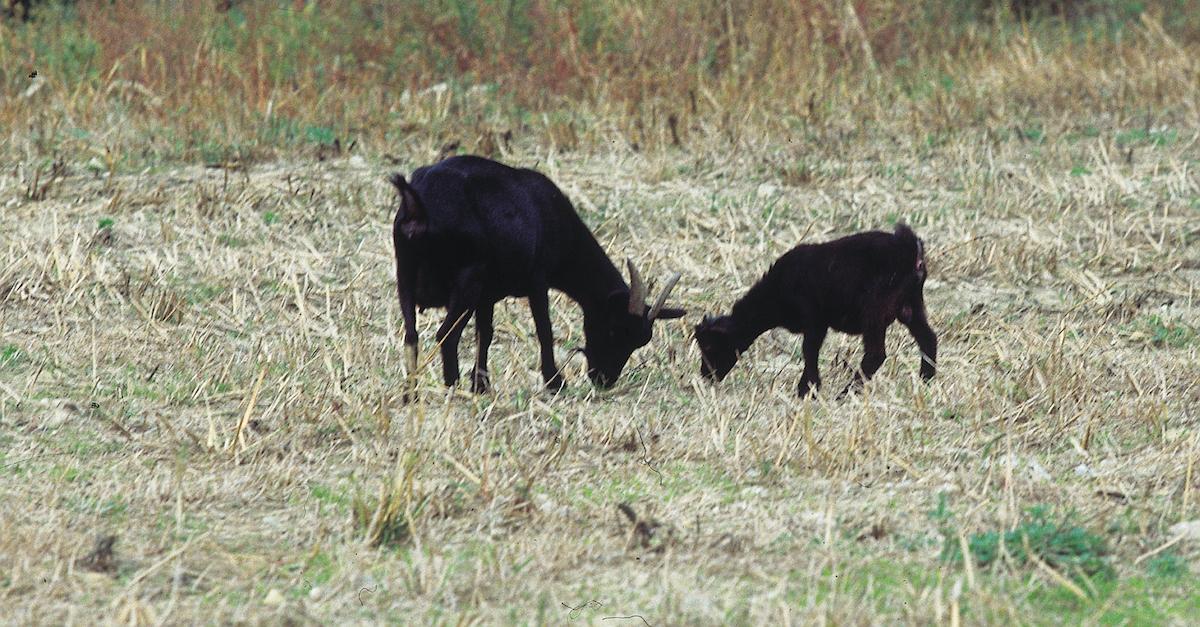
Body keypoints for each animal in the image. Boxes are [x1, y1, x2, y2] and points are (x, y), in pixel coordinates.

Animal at [391, 153, 686, 396]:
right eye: (614, 329)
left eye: (638, 342)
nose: (604, 380)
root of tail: (419, 206)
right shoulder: (536, 279)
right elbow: (544, 328)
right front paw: (555, 382)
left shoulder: (487, 295)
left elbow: (485, 333)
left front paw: (481, 385)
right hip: (466, 280)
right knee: (446, 335)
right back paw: (452, 389)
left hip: (405, 274)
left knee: (411, 335)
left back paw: (411, 394)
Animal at [696, 222, 936, 393]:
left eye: (709, 345)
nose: (706, 376)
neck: (774, 294)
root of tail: (910, 248)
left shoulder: (814, 319)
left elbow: (809, 351)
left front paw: (807, 389)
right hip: (910, 305)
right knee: (928, 338)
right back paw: (927, 379)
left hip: (875, 308)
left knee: (875, 354)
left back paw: (846, 393)